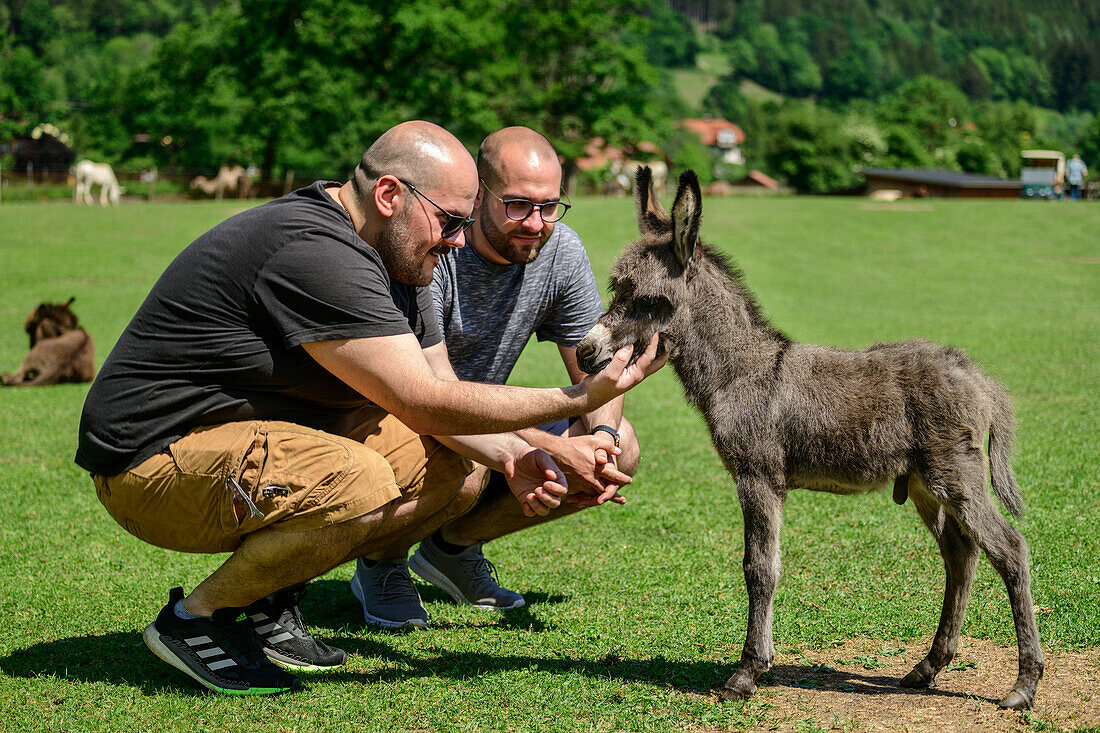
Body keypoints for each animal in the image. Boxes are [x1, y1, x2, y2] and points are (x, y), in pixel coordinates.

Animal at [580, 167, 1042, 708]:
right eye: (615, 289)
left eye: (652, 302)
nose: (587, 352)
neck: (743, 372)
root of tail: (979, 377)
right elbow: (765, 565)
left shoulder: (758, 477)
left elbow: (760, 568)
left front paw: (747, 673)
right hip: (926, 484)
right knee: (961, 553)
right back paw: (928, 667)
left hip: (957, 475)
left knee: (1009, 549)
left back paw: (1024, 684)